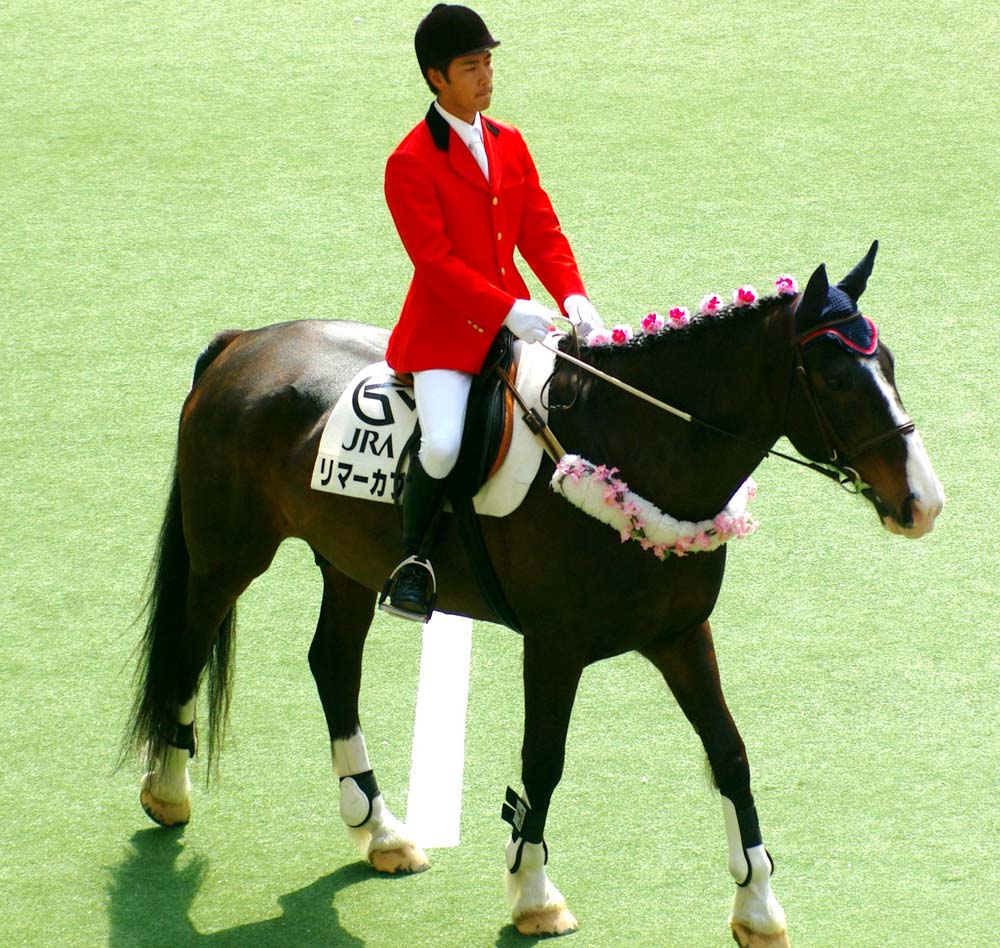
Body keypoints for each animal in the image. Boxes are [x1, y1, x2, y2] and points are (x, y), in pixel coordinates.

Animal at [125, 246, 944, 948]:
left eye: (890, 365)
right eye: (836, 379)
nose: (923, 505)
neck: (635, 446)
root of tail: (242, 343)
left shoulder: (681, 635)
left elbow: (729, 753)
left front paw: (758, 908)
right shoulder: (555, 647)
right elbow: (543, 760)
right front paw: (533, 895)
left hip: (349, 564)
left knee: (331, 664)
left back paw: (380, 830)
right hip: (227, 556)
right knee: (187, 649)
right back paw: (167, 791)